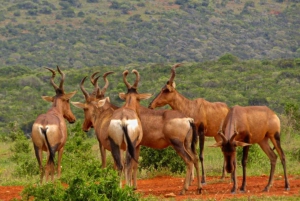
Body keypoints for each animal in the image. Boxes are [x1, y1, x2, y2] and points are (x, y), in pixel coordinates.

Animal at [72, 71, 202, 194]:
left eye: (85, 108)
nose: (85, 127)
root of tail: (188, 119)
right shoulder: (135, 145)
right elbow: (132, 164)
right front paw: (132, 186)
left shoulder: (108, 145)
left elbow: (112, 164)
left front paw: (129, 186)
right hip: (187, 144)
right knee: (195, 158)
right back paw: (198, 187)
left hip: (177, 144)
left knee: (189, 160)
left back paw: (184, 189)